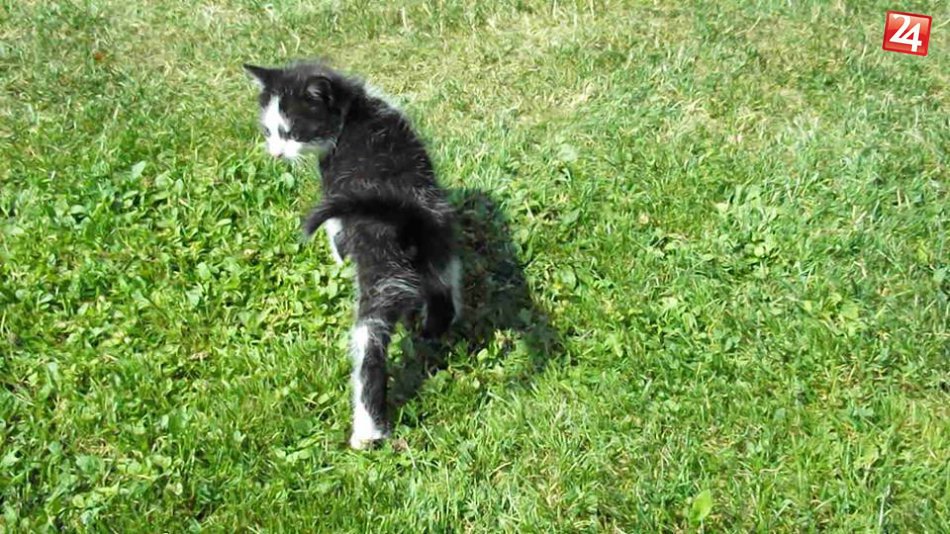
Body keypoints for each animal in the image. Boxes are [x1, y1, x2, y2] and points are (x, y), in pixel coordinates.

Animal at [244, 61, 462, 449]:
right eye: (268, 130)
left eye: (291, 132)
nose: (275, 154)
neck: (355, 109)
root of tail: (404, 213)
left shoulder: (334, 194)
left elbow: (335, 232)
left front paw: (339, 257)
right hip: (439, 243)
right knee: (444, 293)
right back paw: (432, 334)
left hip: (380, 281)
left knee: (369, 349)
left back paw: (367, 431)